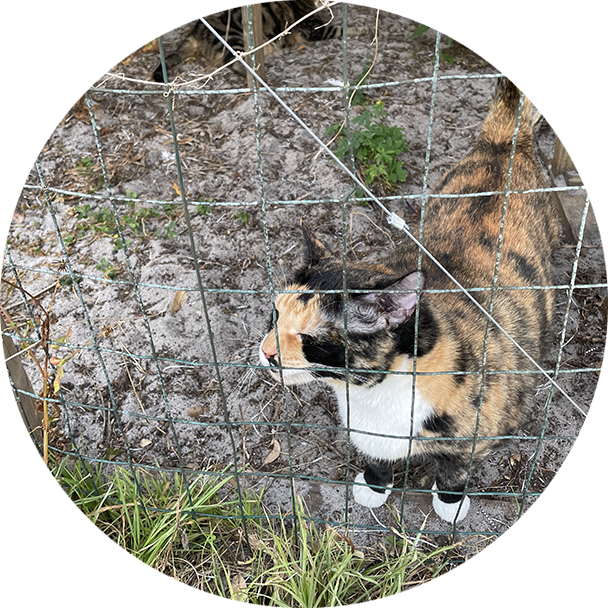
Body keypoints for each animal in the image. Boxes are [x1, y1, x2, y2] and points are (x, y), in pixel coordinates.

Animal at [258, 77, 560, 524]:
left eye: (312, 338)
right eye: (274, 315)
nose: (265, 353)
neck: (373, 396)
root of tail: (502, 143)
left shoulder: (475, 432)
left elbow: (455, 469)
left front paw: (450, 505)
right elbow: (376, 456)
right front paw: (374, 484)